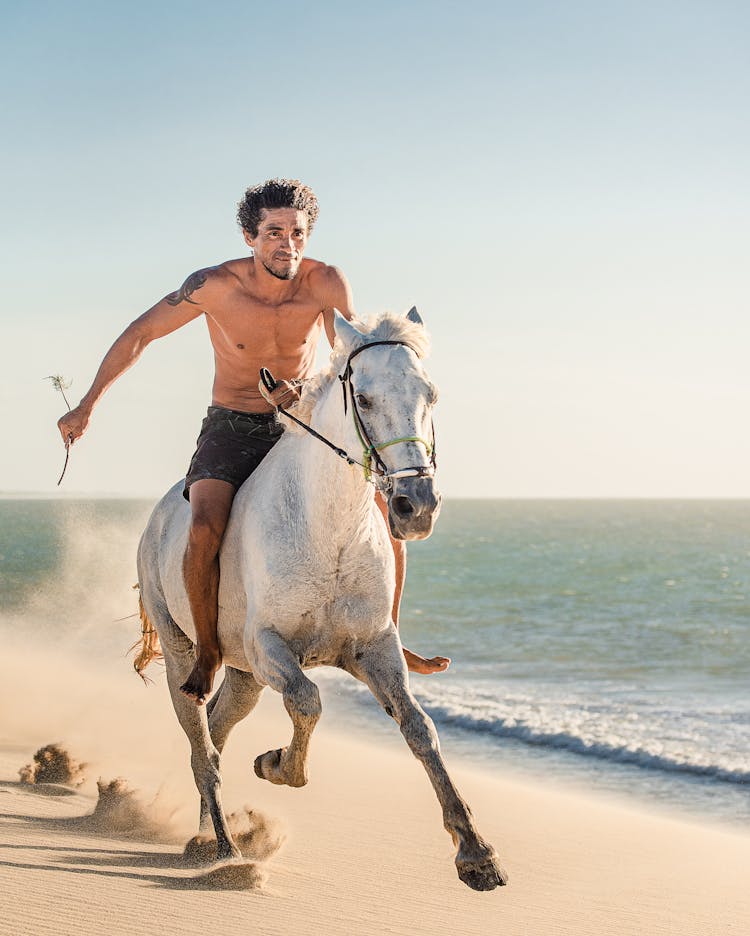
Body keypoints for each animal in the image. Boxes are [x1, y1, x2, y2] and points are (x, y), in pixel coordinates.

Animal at [137, 308, 508, 892]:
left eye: (431, 395)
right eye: (366, 400)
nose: (416, 505)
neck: (326, 528)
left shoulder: (373, 648)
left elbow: (420, 729)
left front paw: (476, 854)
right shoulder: (270, 648)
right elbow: (308, 701)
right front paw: (276, 763)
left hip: (243, 676)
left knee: (217, 730)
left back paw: (205, 835)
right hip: (186, 656)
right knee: (203, 749)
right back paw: (224, 851)